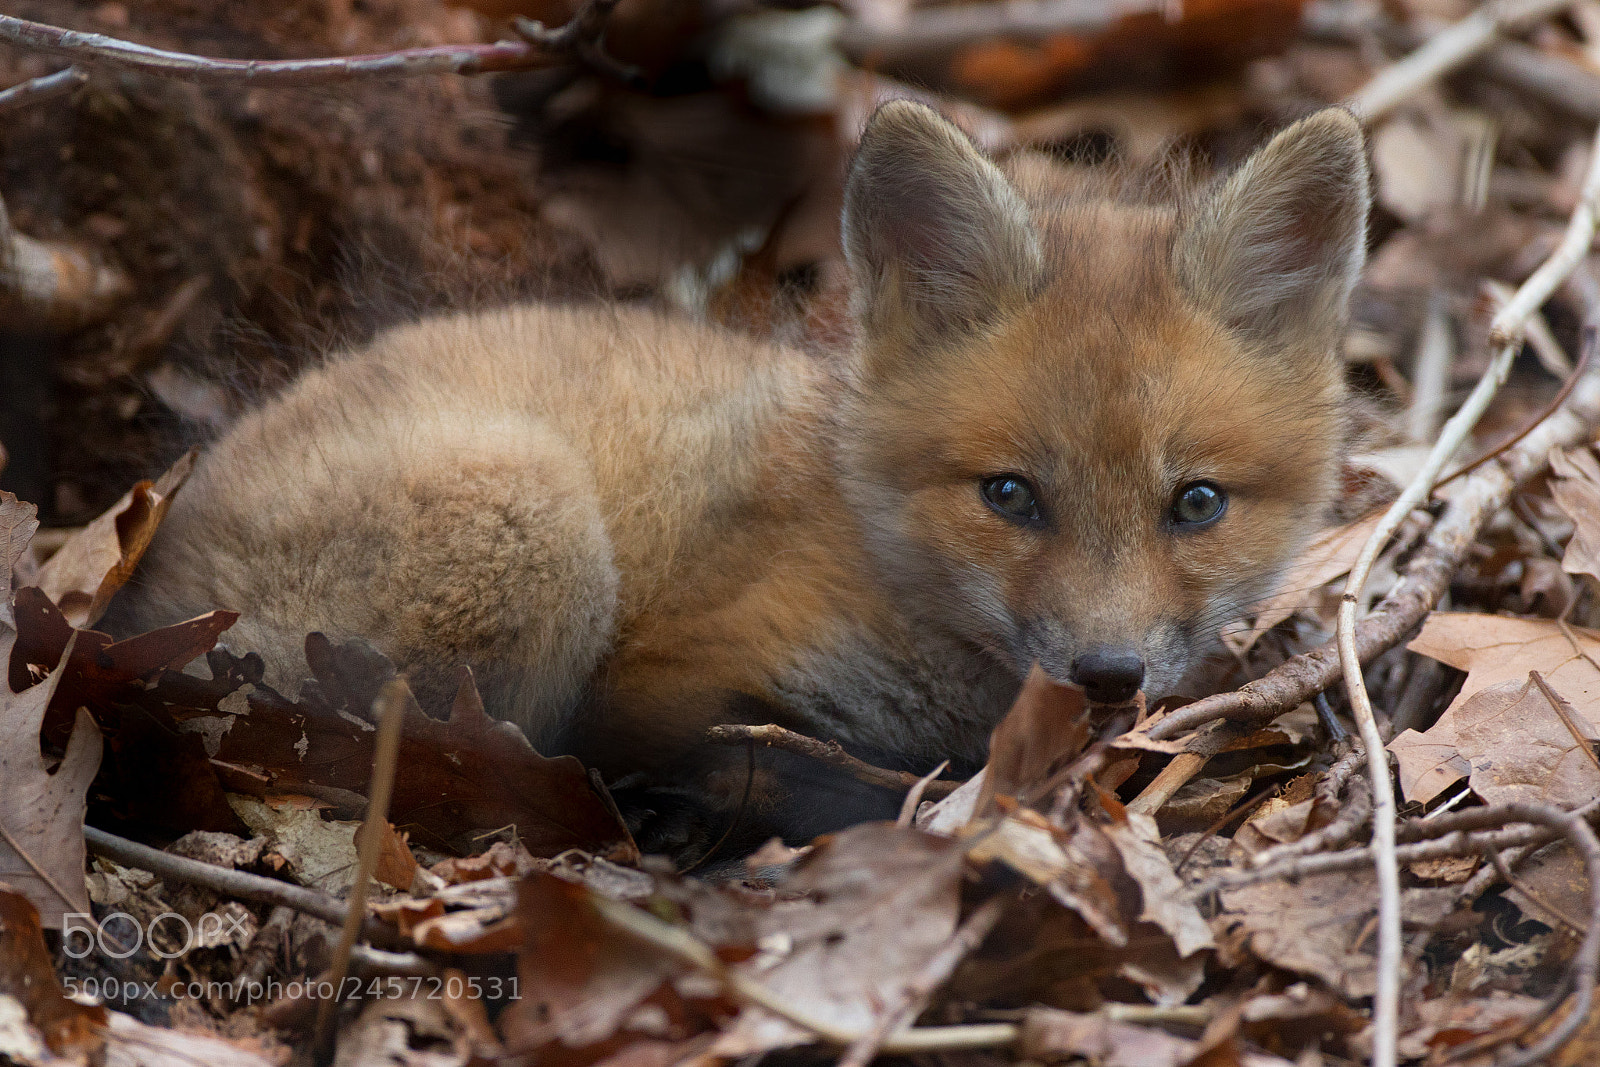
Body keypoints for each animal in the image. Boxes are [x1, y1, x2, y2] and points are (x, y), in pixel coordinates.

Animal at [111, 102, 1370, 854]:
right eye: (1010, 495)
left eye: (1194, 503)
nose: (1107, 674)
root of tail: (138, 596)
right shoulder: (670, 678)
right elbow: (763, 760)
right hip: (532, 522)